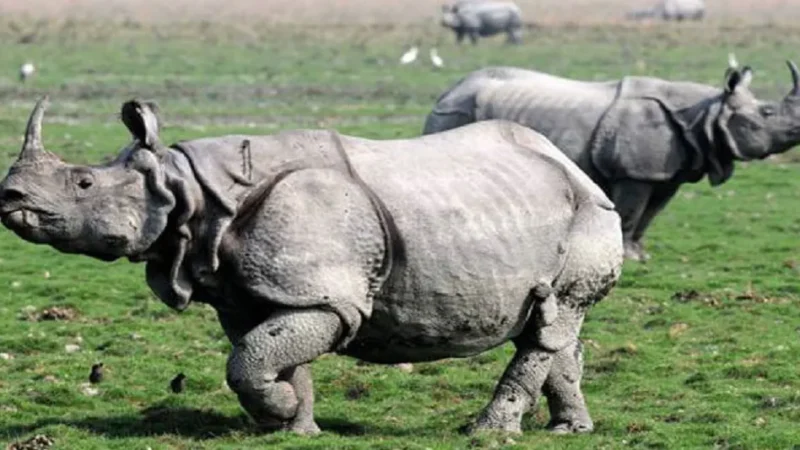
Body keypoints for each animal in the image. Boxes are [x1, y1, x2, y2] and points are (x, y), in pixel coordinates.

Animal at [0, 98, 624, 436]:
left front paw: (278, 411)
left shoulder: (325, 294)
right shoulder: (261, 293)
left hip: (589, 212)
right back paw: (569, 430)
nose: (9, 198)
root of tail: (572, 165)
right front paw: (292, 424)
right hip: (553, 208)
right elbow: (267, 350)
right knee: (552, 321)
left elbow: (250, 360)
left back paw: (487, 433)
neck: (188, 191)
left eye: (83, 183)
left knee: (552, 322)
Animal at [422, 56, 800, 262]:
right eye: (767, 113)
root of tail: (446, 92)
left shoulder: (667, 174)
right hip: (453, 113)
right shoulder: (634, 172)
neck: (704, 112)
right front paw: (628, 256)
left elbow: (650, 214)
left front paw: (640, 254)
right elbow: (632, 212)